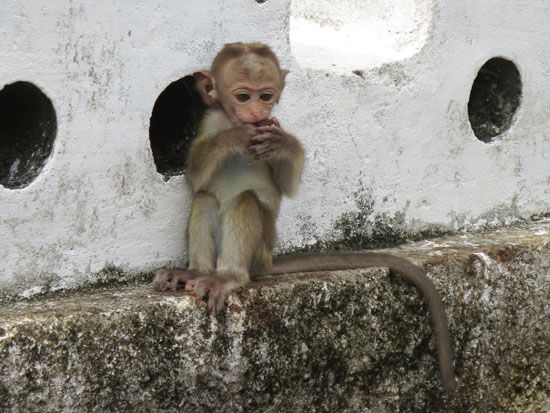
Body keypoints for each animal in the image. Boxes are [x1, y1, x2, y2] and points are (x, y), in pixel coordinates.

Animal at [156, 41, 458, 390]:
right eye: (244, 96)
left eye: (266, 95)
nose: (257, 113)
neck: (233, 120)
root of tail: (264, 261)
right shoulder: (210, 121)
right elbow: (197, 178)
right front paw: (235, 138)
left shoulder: (274, 127)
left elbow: (286, 185)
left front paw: (285, 143)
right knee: (205, 199)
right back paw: (196, 272)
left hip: (260, 247)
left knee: (244, 200)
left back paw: (227, 277)